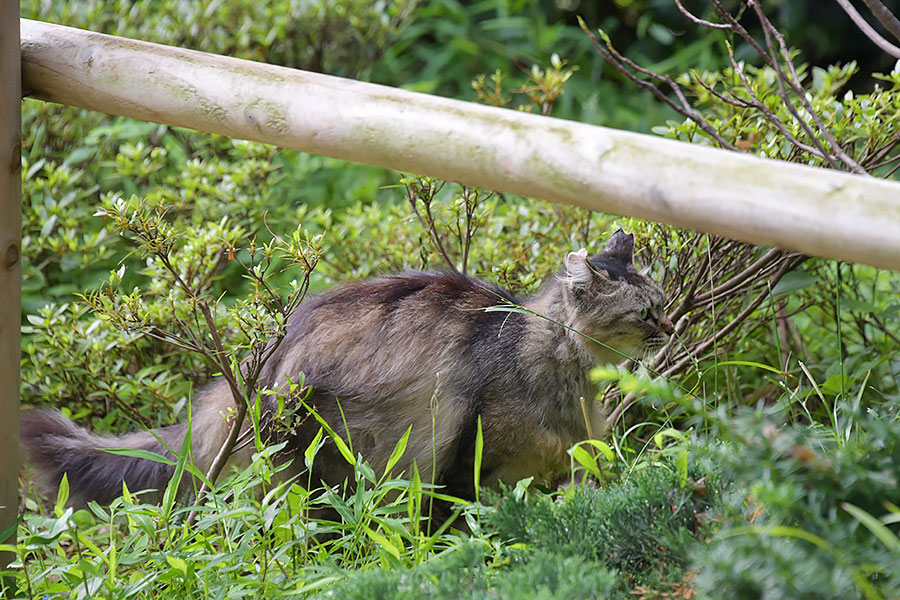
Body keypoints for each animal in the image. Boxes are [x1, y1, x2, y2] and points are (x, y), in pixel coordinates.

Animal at [21, 230, 672, 506]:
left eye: (662, 304)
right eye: (645, 314)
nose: (671, 330)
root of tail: (262, 358)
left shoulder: (564, 466)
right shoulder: (466, 464)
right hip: (322, 459)